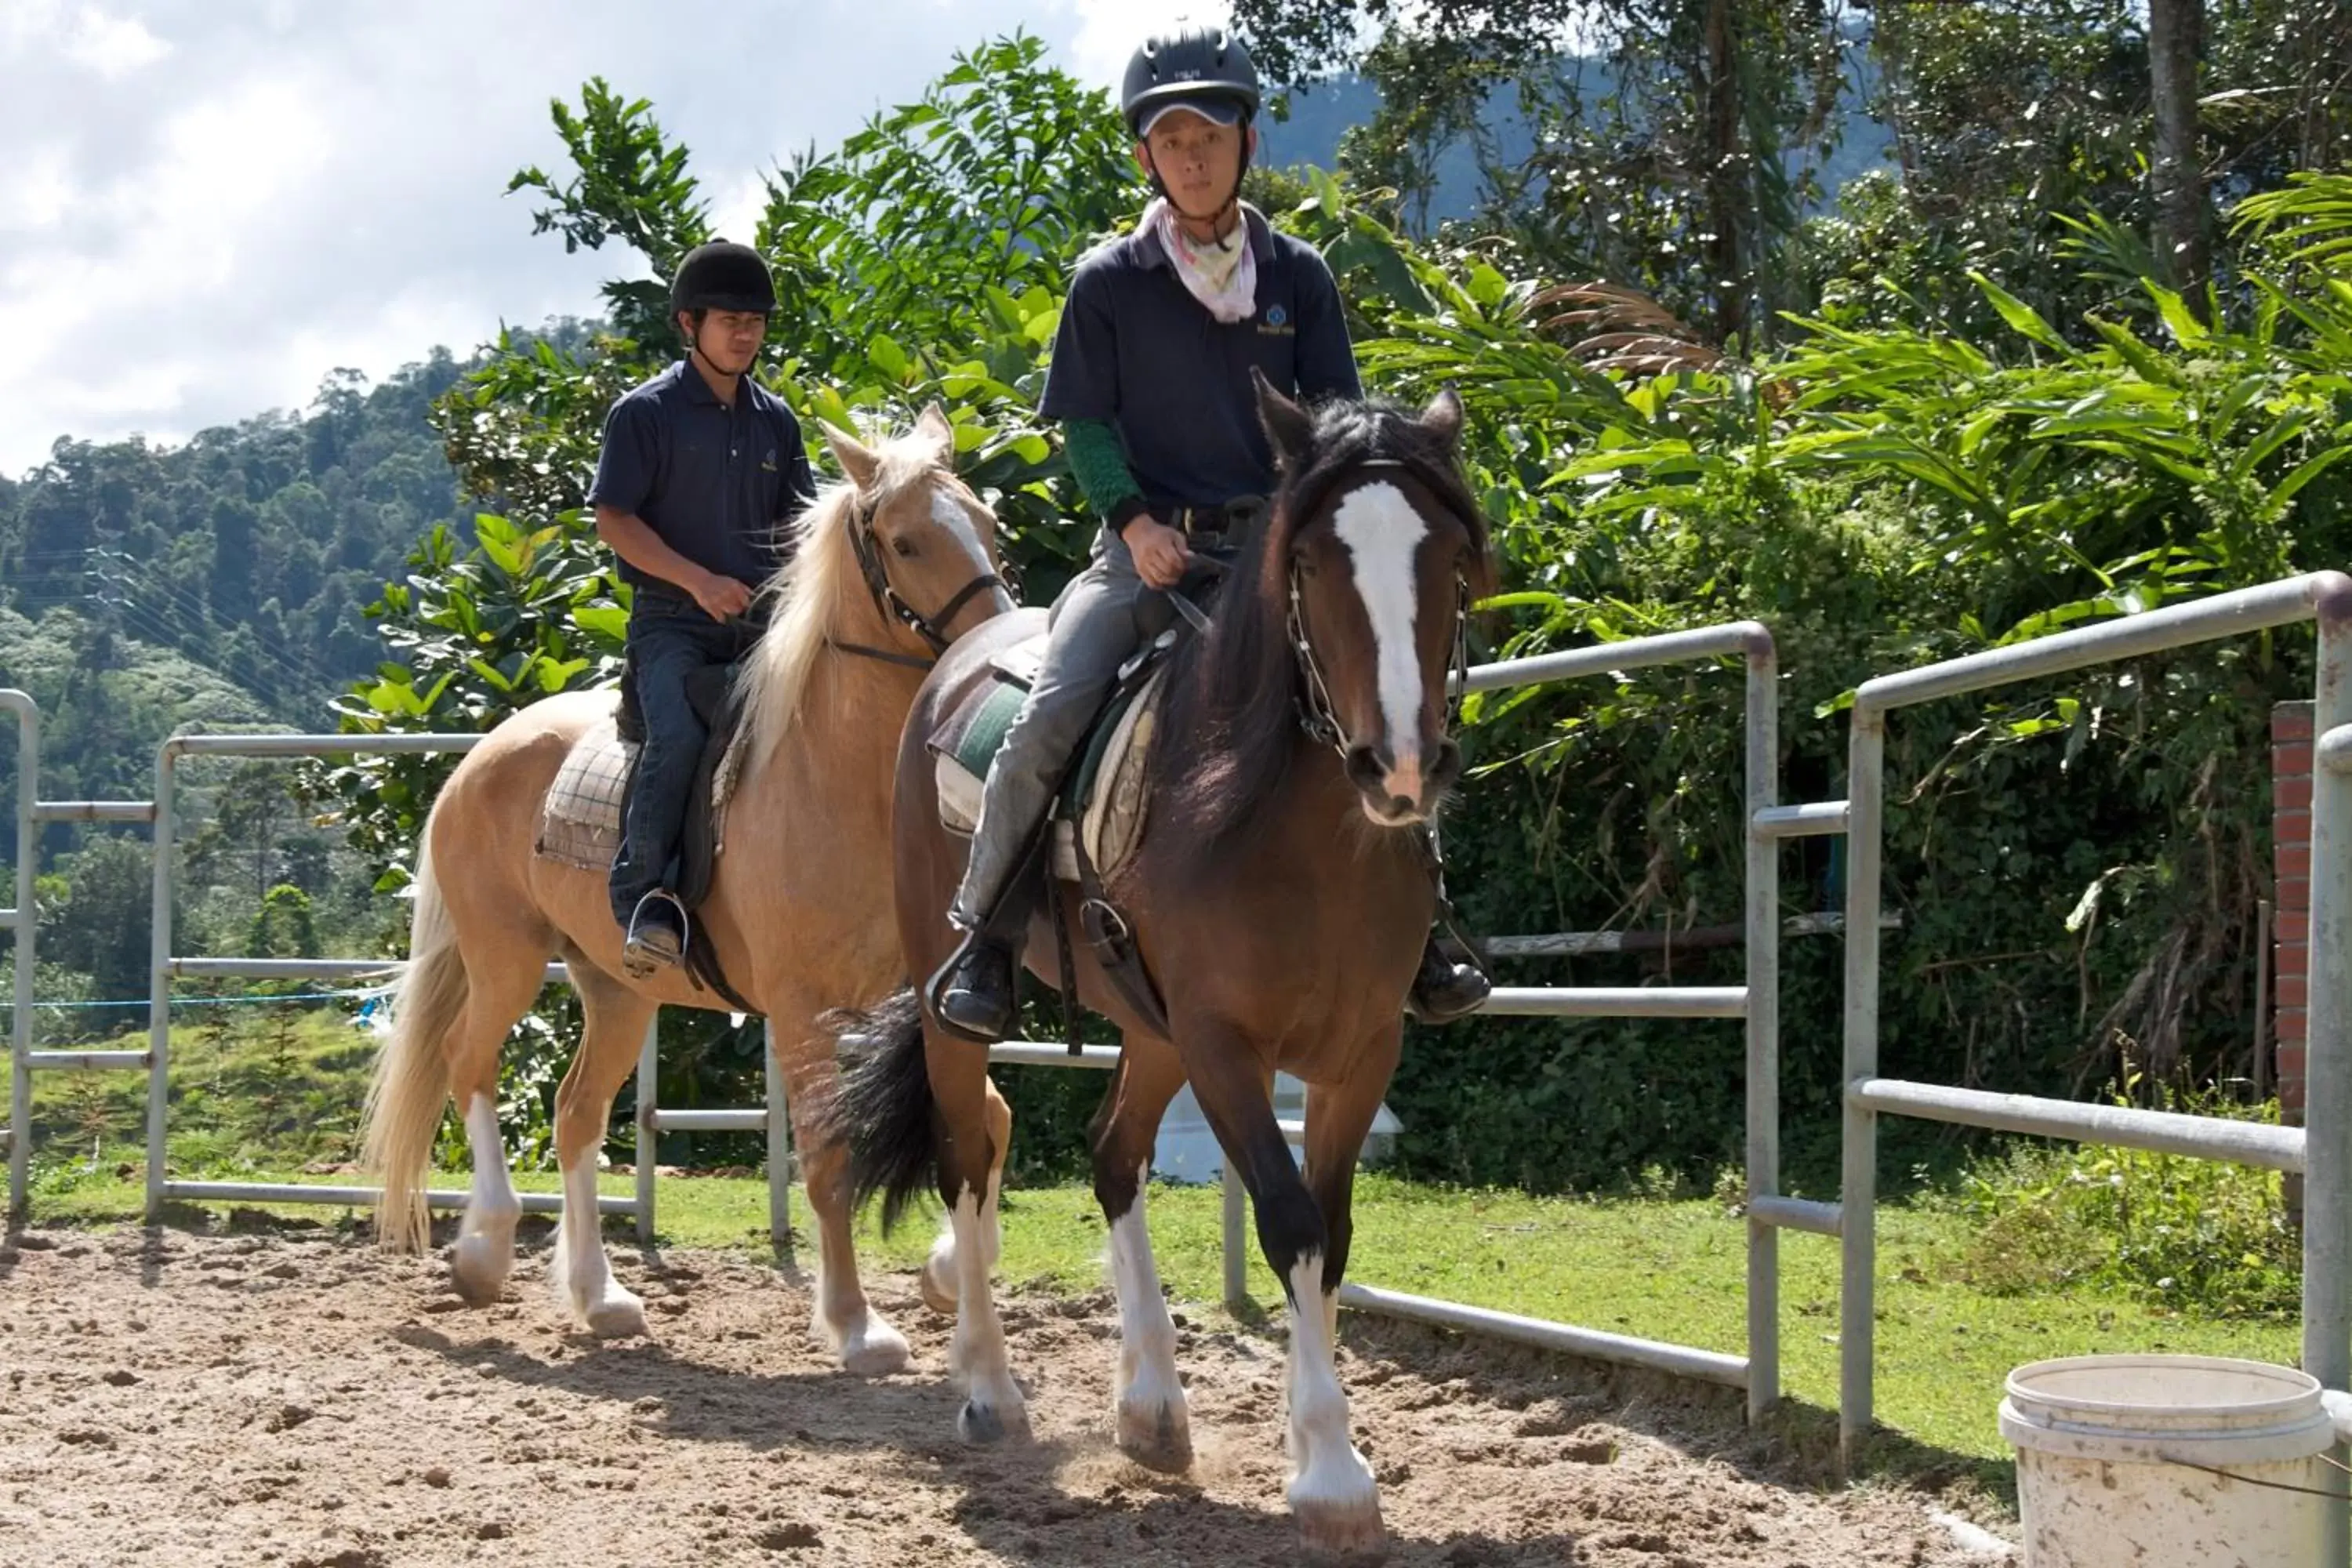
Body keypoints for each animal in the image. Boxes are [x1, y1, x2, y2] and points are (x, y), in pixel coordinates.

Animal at [369, 404, 1021, 1373]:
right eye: (905, 541)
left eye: (986, 525)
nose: (1001, 647)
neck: (836, 775)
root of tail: (479, 758)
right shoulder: (801, 1009)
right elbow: (828, 1157)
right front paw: (858, 1325)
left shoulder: (912, 996)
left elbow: (988, 1117)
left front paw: (946, 1275)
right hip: (505, 960)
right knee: (468, 1063)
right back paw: (484, 1250)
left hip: (614, 988)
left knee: (574, 1113)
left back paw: (601, 1299)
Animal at [823, 371, 1486, 1561]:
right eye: (1311, 561)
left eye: (1449, 556)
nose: (1401, 766)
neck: (1278, 821)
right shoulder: (1225, 1046)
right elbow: (1288, 1218)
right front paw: (1330, 1472)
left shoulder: (1362, 1049)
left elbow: (1333, 1229)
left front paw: (1318, 1445)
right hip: (965, 1009)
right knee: (965, 1156)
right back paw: (990, 1391)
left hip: (1149, 1025)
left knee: (1111, 1153)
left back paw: (1151, 1410)